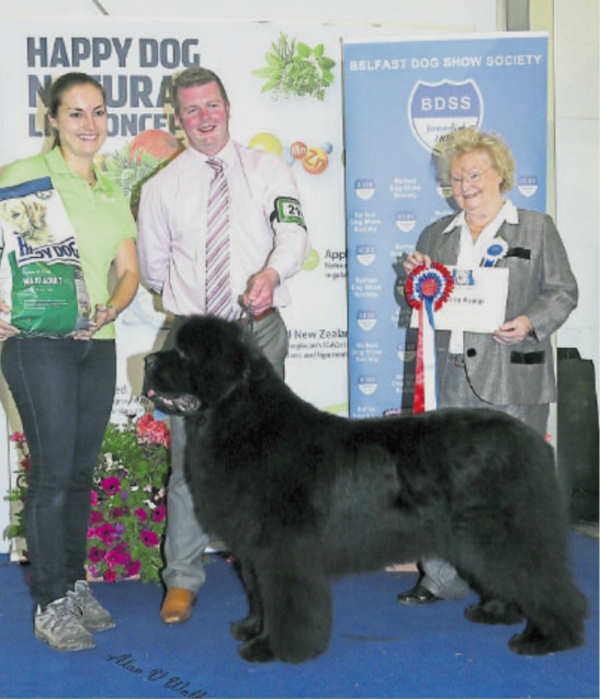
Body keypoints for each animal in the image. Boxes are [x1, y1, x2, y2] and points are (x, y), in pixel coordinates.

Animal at [144, 314, 584, 664]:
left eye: (183, 354)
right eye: (171, 345)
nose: (147, 360)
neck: (240, 421)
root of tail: (531, 439)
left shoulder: (282, 550)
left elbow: (286, 603)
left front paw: (276, 649)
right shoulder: (252, 551)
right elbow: (258, 596)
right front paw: (252, 628)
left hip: (505, 533)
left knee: (545, 582)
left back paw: (548, 637)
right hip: (477, 539)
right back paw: (496, 612)